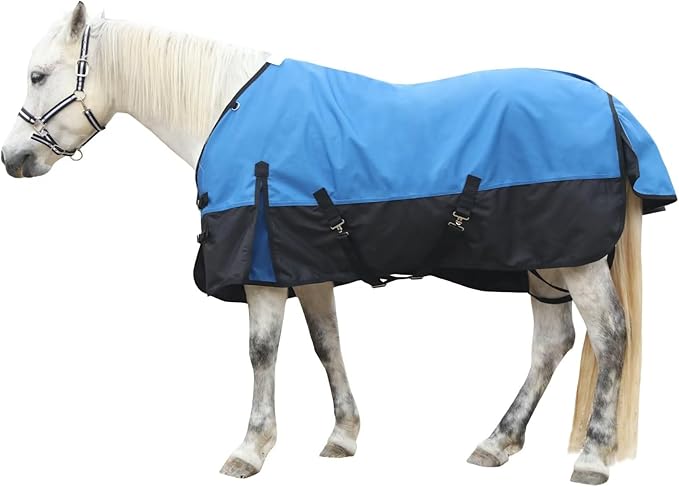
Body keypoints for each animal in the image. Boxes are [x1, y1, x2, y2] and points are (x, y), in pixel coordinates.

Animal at [2, 3, 673, 484]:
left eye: (37, 75)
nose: (14, 160)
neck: (226, 107)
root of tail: (611, 107)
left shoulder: (263, 267)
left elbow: (261, 351)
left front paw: (251, 448)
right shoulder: (308, 263)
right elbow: (326, 343)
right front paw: (343, 436)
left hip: (575, 260)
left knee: (611, 337)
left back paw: (591, 458)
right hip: (543, 263)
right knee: (552, 344)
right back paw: (497, 442)